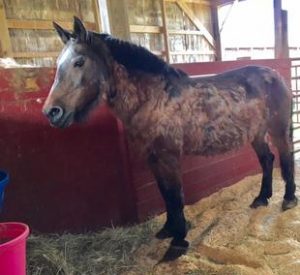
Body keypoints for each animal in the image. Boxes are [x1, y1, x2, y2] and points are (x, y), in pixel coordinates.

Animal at [42, 16, 298, 254]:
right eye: (58, 63)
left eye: (79, 61)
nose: (52, 112)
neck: (154, 97)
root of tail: (276, 75)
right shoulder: (153, 157)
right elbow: (165, 194)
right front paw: (168, 229)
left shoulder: (169, 156)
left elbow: (176, 195)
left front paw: (178, 241)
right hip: (257, 134)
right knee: (267, 160)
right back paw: (261, 198)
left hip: (278, 129)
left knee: (286, 158)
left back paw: (288, 199)